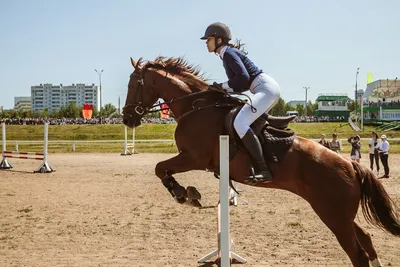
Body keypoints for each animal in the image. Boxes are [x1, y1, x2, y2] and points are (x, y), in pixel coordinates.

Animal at [122, 55, 400, 266]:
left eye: (133, 84)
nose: (127, 118)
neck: (195, 107)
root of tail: (351, 166)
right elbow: (162, 169)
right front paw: (188, 194)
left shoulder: (194, 157)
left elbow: (160, 168)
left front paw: (184, 194)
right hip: (340, 215)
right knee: (366, 239)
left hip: (333, 215)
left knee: (358, 254)